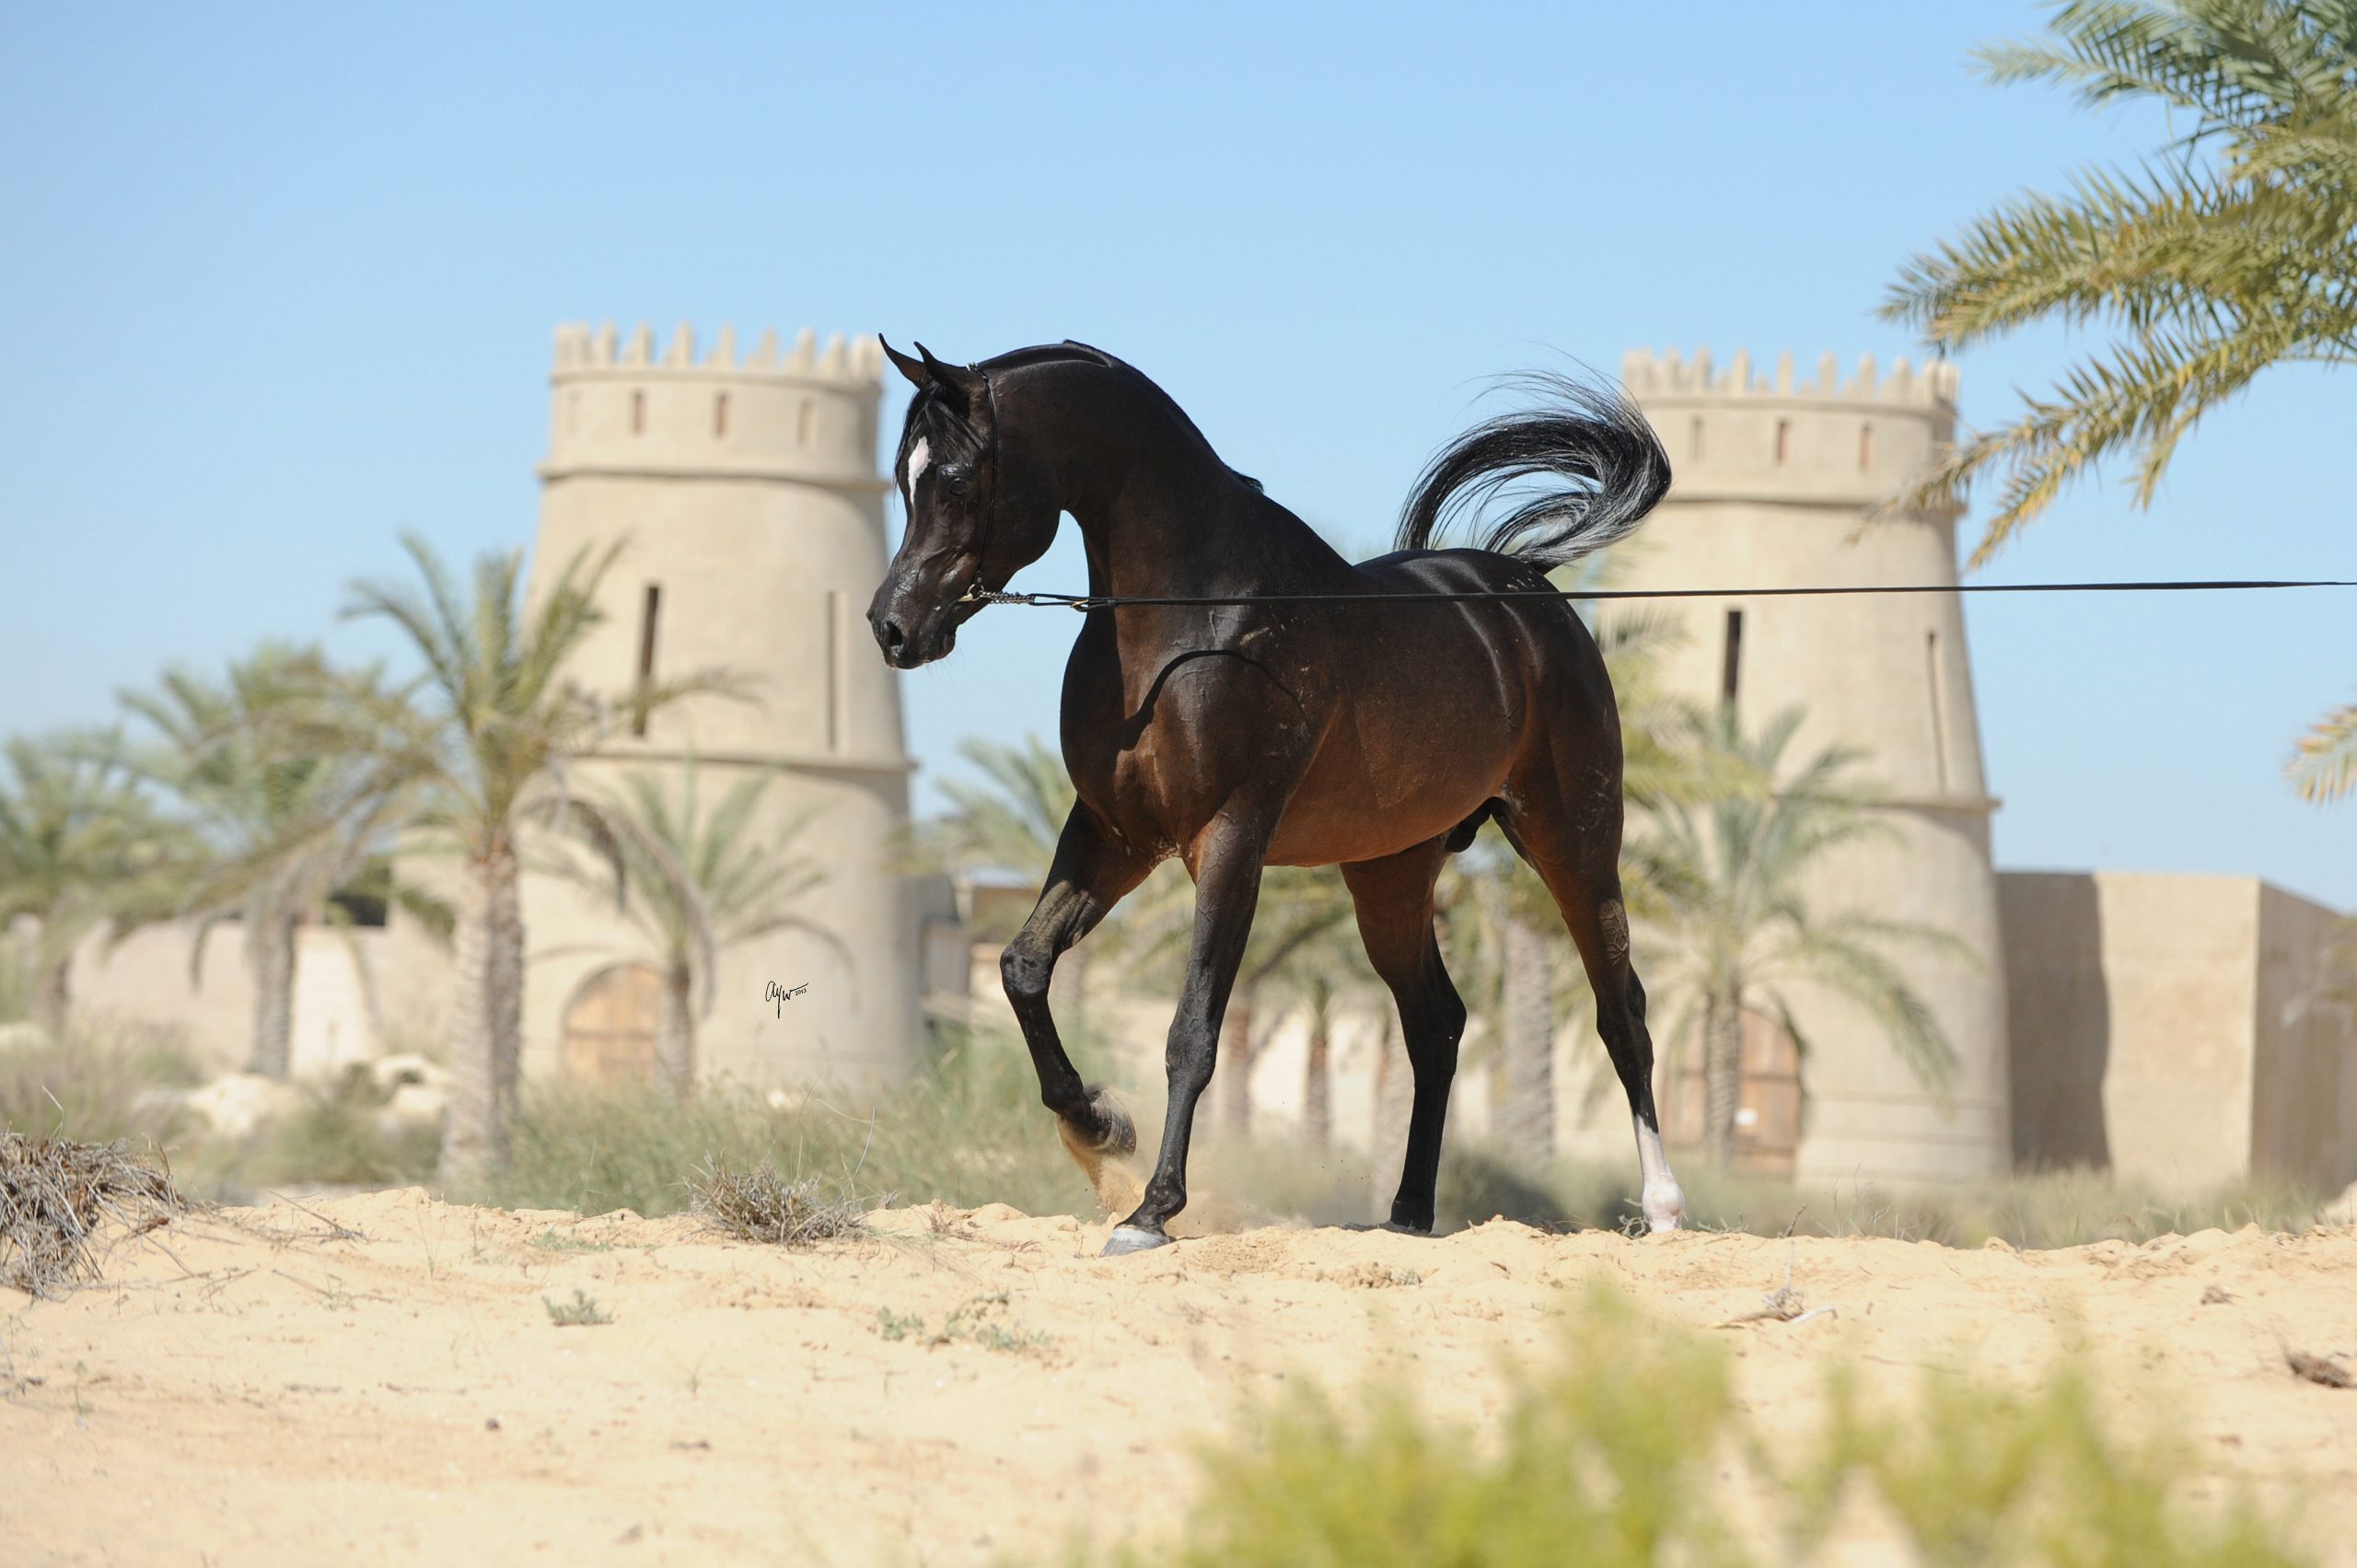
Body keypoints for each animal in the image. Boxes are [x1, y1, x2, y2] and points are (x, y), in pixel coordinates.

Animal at [877, 339, 1687, 1245]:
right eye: (903, 476)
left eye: (953, 479)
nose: (893, 628)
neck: (1190, 621)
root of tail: (1526, 594)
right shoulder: (1114, 835)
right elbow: (1023, 967)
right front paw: (1097, 1127)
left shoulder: (1229, 839)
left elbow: (1193, 1030)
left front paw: (1152, 1208)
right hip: (1392, 874)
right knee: (1436, 1025)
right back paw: (1407, 1214)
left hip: (1573, 841)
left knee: (1621, 1011)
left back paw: (1662, 1208)